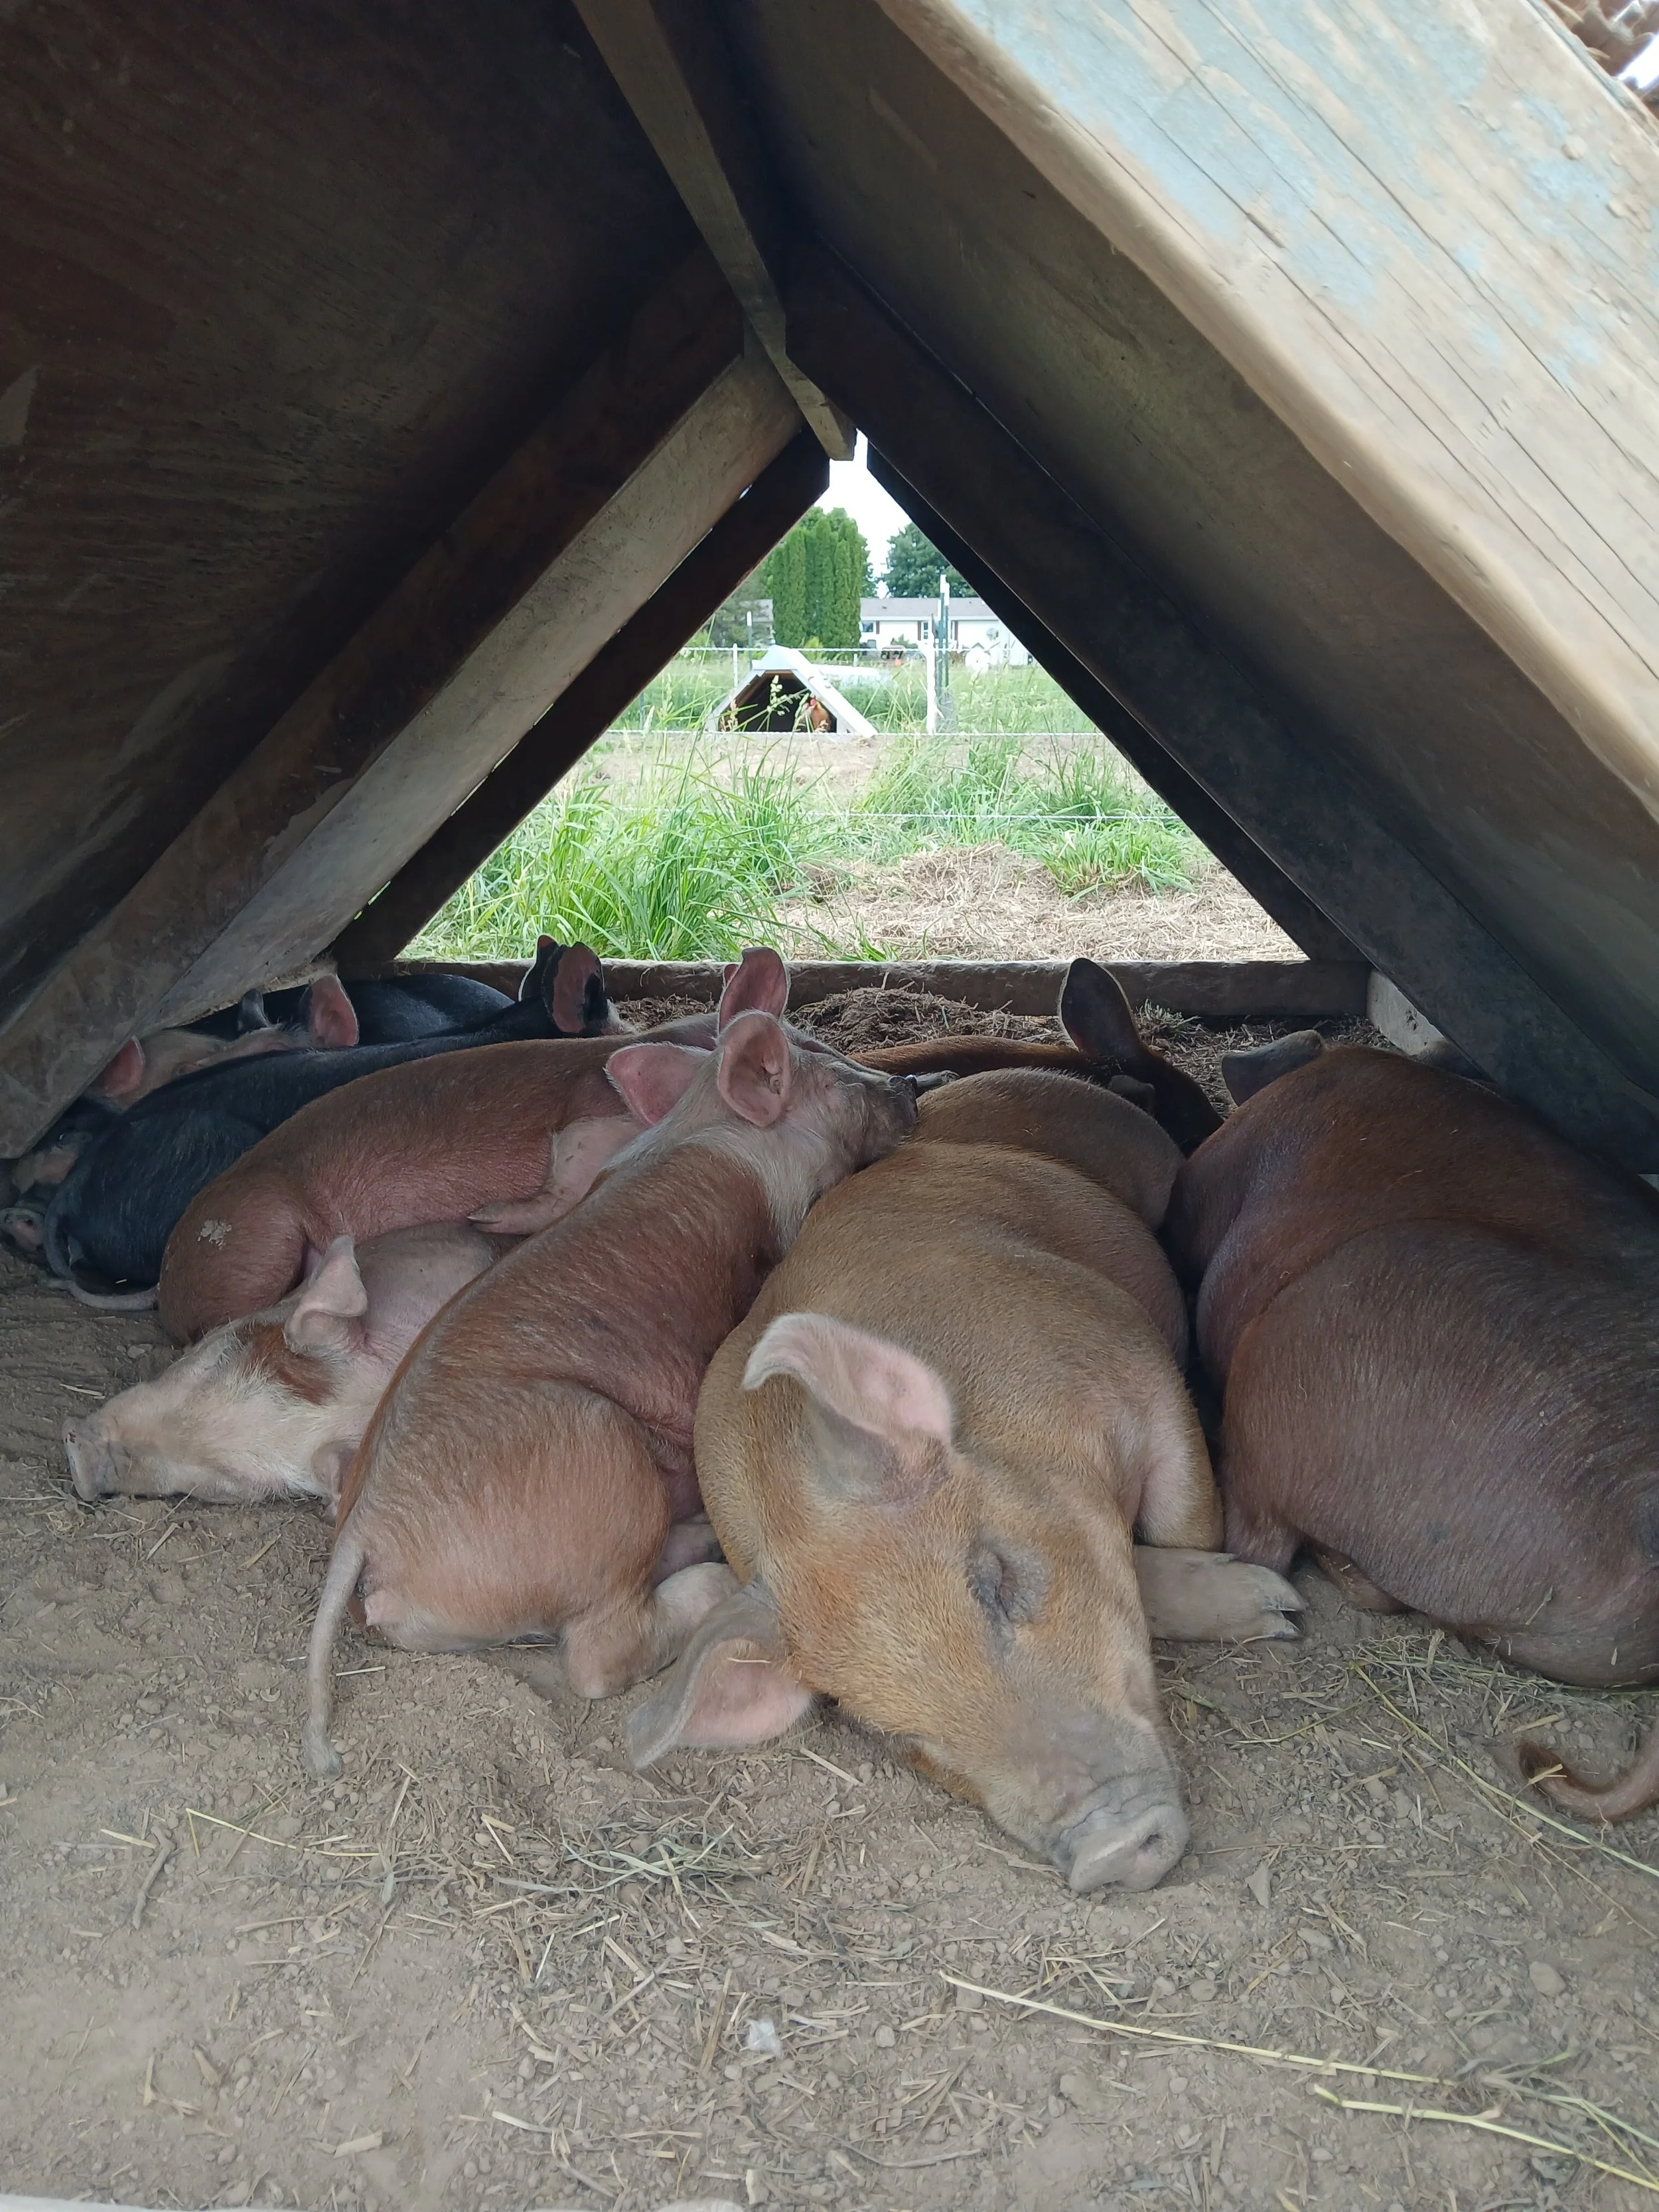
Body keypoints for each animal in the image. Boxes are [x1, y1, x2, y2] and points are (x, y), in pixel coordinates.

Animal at [301, 1010, 920, 1779]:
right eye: (838, 1079)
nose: (914, 1081)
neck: (712, 1131)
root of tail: (365, 1528)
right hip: (601, 1461)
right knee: (600, 1656)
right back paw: (710, 1577)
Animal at [630, 1069, 1301, 1893]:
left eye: (997, 1579)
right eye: (880, 1728)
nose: (1106, 1850)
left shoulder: (1136, 1363)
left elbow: (1188, 1520)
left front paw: (1282, 1609)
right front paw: (1277, 1608)